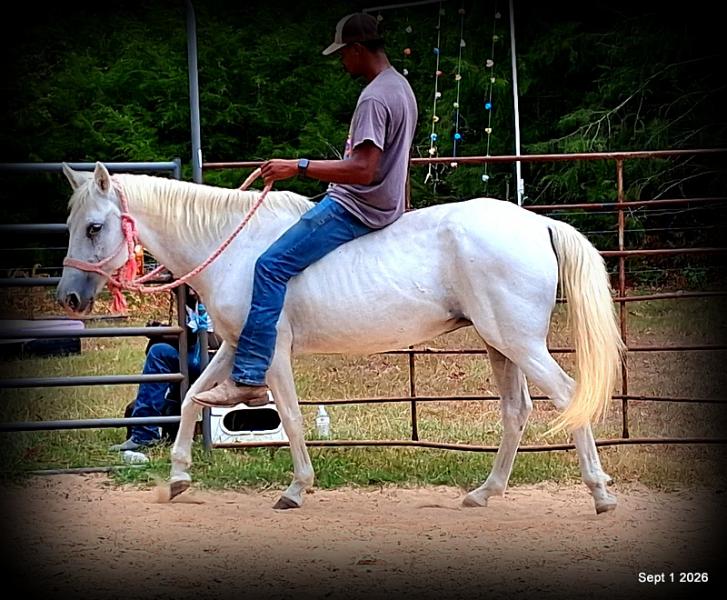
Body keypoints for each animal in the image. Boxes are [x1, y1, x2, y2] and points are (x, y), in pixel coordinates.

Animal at [57, 162, 624, 514]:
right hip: (499, 345)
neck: (235, 247)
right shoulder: (239, 347)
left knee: (568, 397)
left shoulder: (272, 352)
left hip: (520, 344)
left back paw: (599, 493)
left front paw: (296, 489)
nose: (68, 298)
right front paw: (177, 478)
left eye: (93, 227)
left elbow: (288, 415)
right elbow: (195, 398)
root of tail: (536, 224)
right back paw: (484, 493)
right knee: (516, 411)